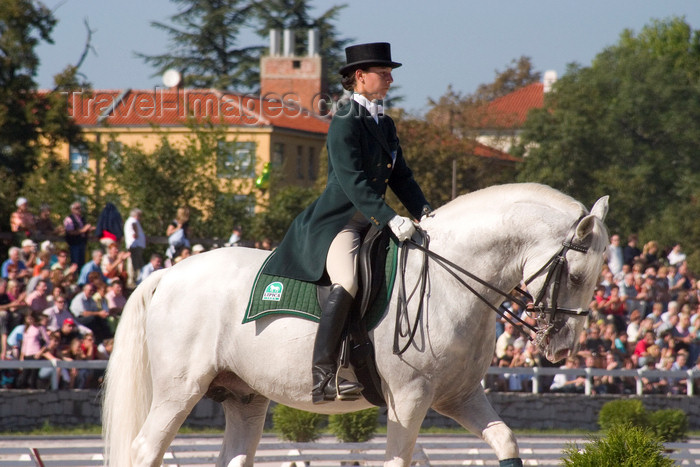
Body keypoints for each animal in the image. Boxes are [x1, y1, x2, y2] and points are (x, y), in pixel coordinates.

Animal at [102, 183, 608, 467]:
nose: (562, 350)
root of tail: (168, 274)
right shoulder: (409, 398)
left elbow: (505, 440)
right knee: (145, 450)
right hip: (179, 391)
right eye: (575, 276)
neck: (449, 279)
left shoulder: (459, 396)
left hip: (245, 398)